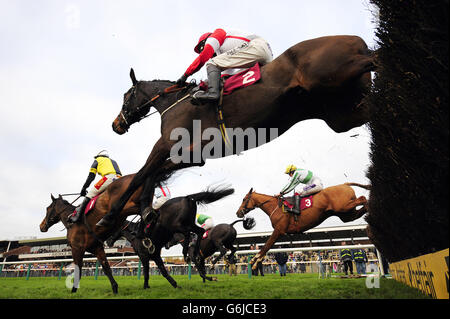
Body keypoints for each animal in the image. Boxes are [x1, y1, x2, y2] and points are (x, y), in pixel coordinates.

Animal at [99, 35, 376, 229]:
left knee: (375, 58)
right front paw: (147, 210)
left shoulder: (166, 144)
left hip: (334, 73)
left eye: (126, 96)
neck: (174, 103)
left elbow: (142, 175)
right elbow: (153, 175)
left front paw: (111, 216)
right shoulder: (192, 155)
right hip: (342, 115)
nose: (116, 124)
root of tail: (355, 40)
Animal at [236, 184, 370, 268]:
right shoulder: (279, 231)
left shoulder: (278, 230)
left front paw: (254, 261)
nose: (238, 213)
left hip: (344, 207)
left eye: (244, 199)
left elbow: (266, 246)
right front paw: (255, 261)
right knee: (359, 209)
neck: (275, 207)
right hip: (346, 214)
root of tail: (345, 184)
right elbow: (267, 246)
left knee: (363, 198)